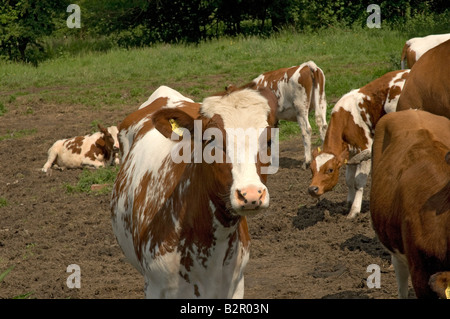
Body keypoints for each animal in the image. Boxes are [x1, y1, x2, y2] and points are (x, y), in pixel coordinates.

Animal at [308, 69, 410, 220]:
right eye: (311, 168)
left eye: (330, 170)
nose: (312, 189)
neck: (347, 119)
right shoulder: (351, 155)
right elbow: (349, 180)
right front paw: (349, 203)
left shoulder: (365, 149)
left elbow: (358, 181)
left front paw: (354, 210)